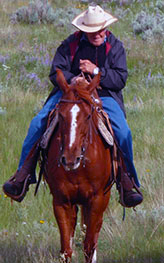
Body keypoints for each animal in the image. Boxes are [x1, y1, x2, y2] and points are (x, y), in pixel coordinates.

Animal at [44, 70, 113, 263]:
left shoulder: (97, 199)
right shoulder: (61, 201)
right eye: (60, 115)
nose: (69, 159)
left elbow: (89, 246)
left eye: (88, 116)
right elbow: (66, 250)